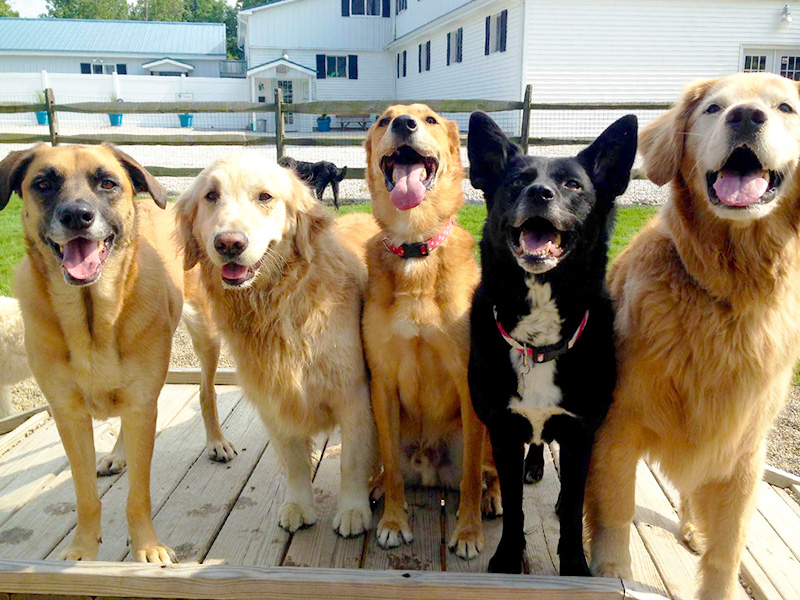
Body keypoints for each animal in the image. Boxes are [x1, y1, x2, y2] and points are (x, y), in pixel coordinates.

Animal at [466, 112, 636, 576]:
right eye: (515, 182)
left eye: (573, 185)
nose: (539, 193)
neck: (539, 341)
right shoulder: (504, 431)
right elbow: (514, 506)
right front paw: (507, 558)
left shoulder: (581, 432)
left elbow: (576, 507)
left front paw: (576, 567)